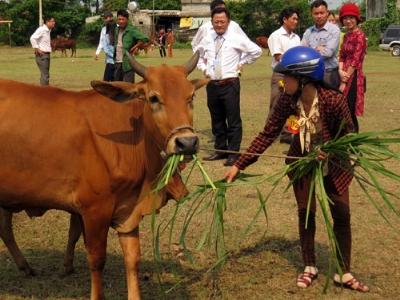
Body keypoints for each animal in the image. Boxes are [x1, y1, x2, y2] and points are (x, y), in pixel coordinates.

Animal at [0, 51, 206, 300]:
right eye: (154, 98)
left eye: (191, 96)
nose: (187, 142)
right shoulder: (94, 210)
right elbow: (97, 259)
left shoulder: (128, 209)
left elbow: (133, 259)